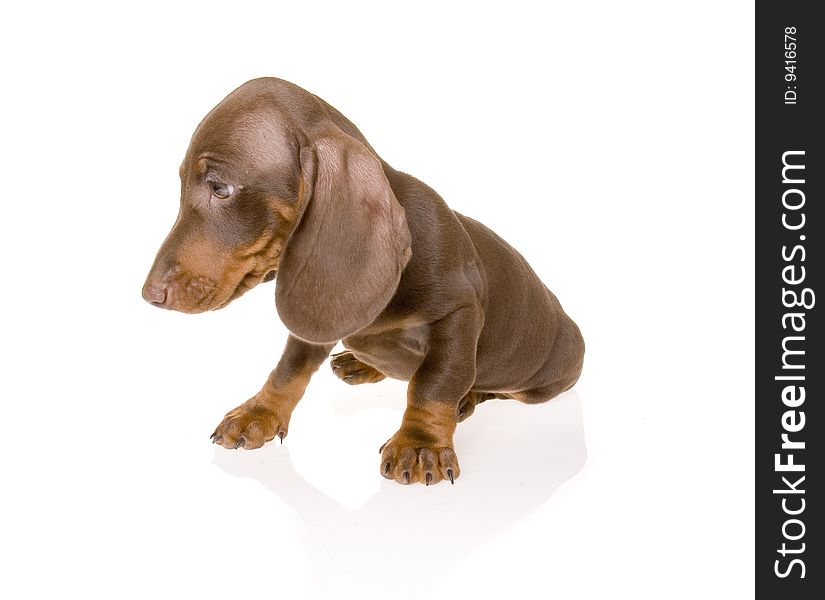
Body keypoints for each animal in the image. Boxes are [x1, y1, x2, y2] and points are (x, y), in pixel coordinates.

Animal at [142, 77, 584, 486]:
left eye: (220, 188)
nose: (149, 295)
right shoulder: (314, 318)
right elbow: (289, 368)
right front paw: (260, 412)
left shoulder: (459, 313)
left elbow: (435, 382)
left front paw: (420, 444)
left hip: (541, 380)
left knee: (491, 385)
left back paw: (468, 396)